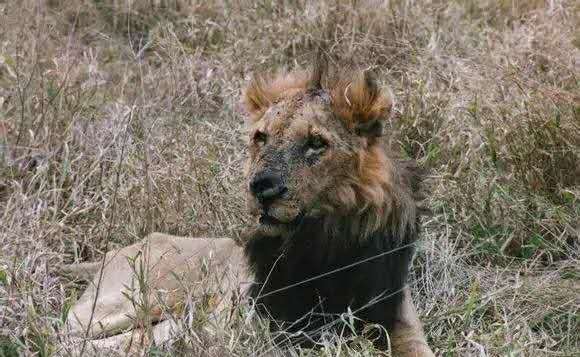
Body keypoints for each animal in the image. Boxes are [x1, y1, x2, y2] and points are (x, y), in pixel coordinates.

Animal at [62, 64, 436, 356]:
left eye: (316, 143)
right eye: (261, 137)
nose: (261, 188)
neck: (321, 244)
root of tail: (119, 249)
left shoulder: (398, 320)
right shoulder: (253, 323)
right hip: (139, 300)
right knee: (76, 331)